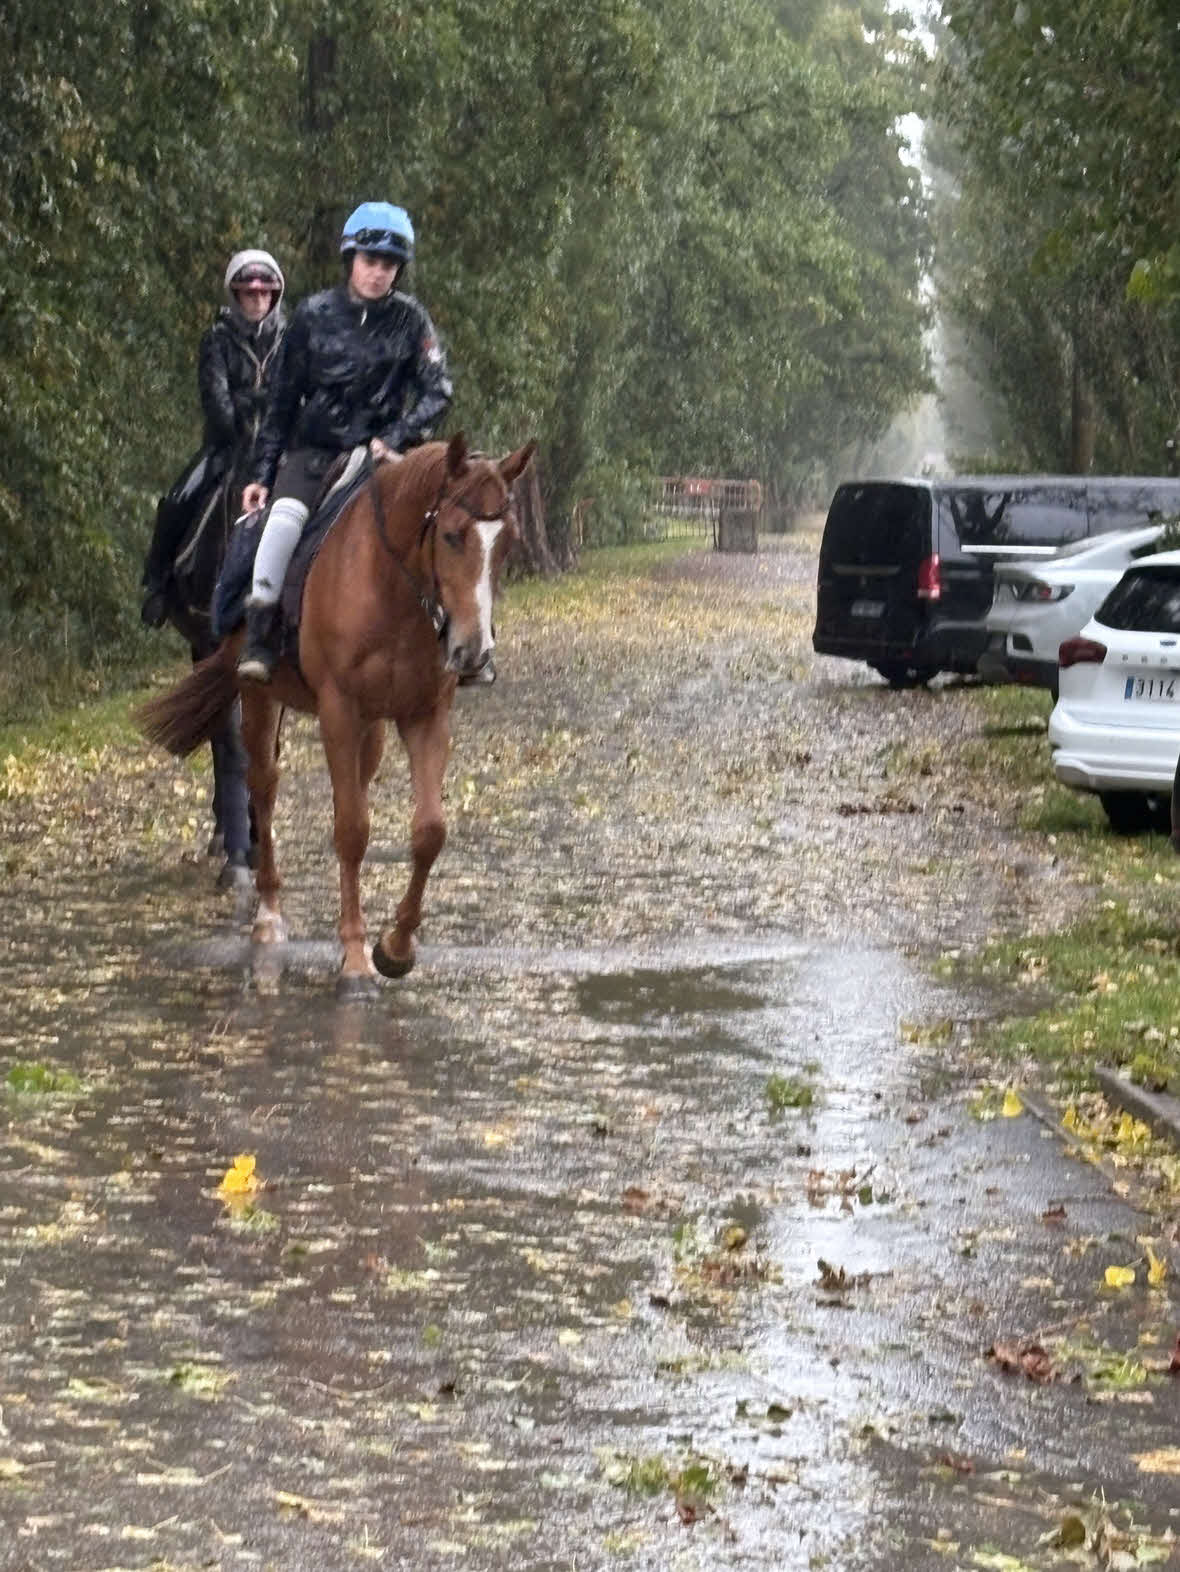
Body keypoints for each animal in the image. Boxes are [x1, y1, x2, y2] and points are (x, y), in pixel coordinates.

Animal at [139, 433, 535, 995]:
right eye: (453, 536)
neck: (390, 585)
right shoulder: (339, 712)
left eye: (507, 542)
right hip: (258, 694)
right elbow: (351, 830)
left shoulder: (425, 715)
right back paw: (267, 913)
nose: (473, 652)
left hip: (370, 727)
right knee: (262, 783)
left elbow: (429, 831)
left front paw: (394, 949)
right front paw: (353, 960)